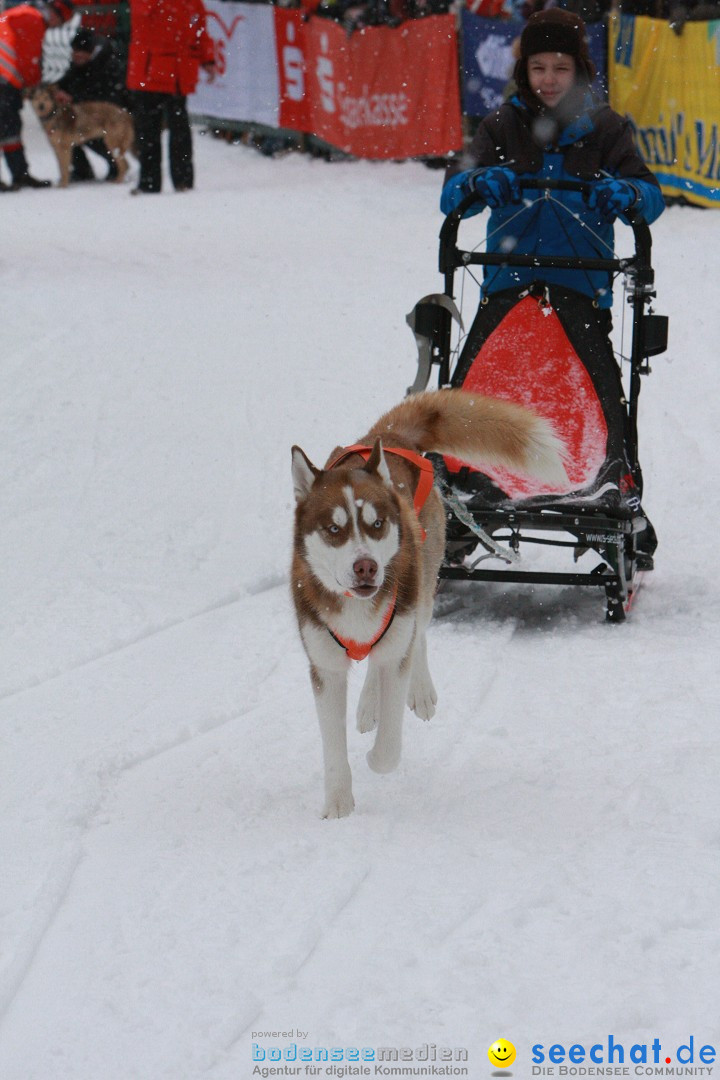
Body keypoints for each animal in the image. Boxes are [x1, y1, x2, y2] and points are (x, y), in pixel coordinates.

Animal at [289, 390, 565, 816]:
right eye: (334, 529)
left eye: (376, 523)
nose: (366, 567)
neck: (356, 609)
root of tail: (389, 435)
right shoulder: (325, 666)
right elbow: (333, 748)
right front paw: (338, 803)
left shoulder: (398, 629)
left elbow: (388, 748)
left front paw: (375, 757)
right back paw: (368, 705)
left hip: (424, 580)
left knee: (414, 638)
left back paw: (417, 691)